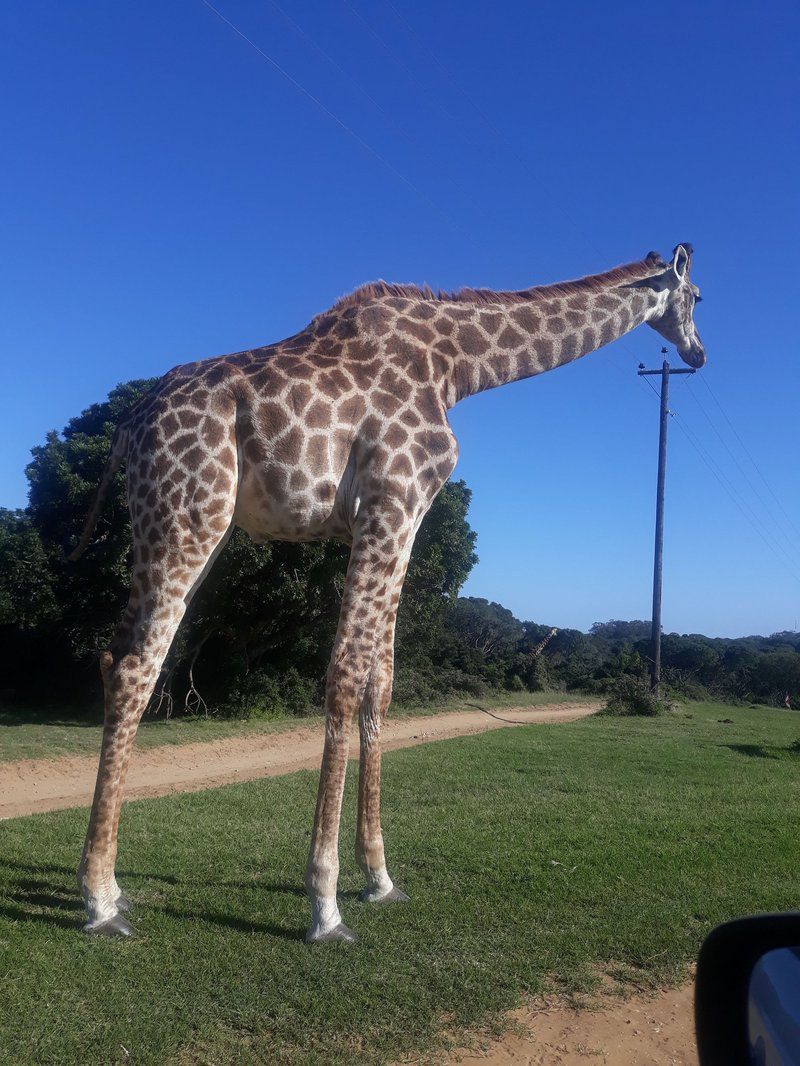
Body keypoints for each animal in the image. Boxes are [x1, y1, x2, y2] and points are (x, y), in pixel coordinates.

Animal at [70, 244, 708, 942]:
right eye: (698, 297)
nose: (700, 353)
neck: (455, 367)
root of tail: (126, 427)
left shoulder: (405, 515)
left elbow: (383, 679)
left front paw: (378, 877)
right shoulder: (391, 500)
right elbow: (347, 673)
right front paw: (325, 904)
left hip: (159, 524)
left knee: (112, 657)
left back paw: (112, 888)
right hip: (190, 516)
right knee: (137, 667)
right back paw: (98, 903)